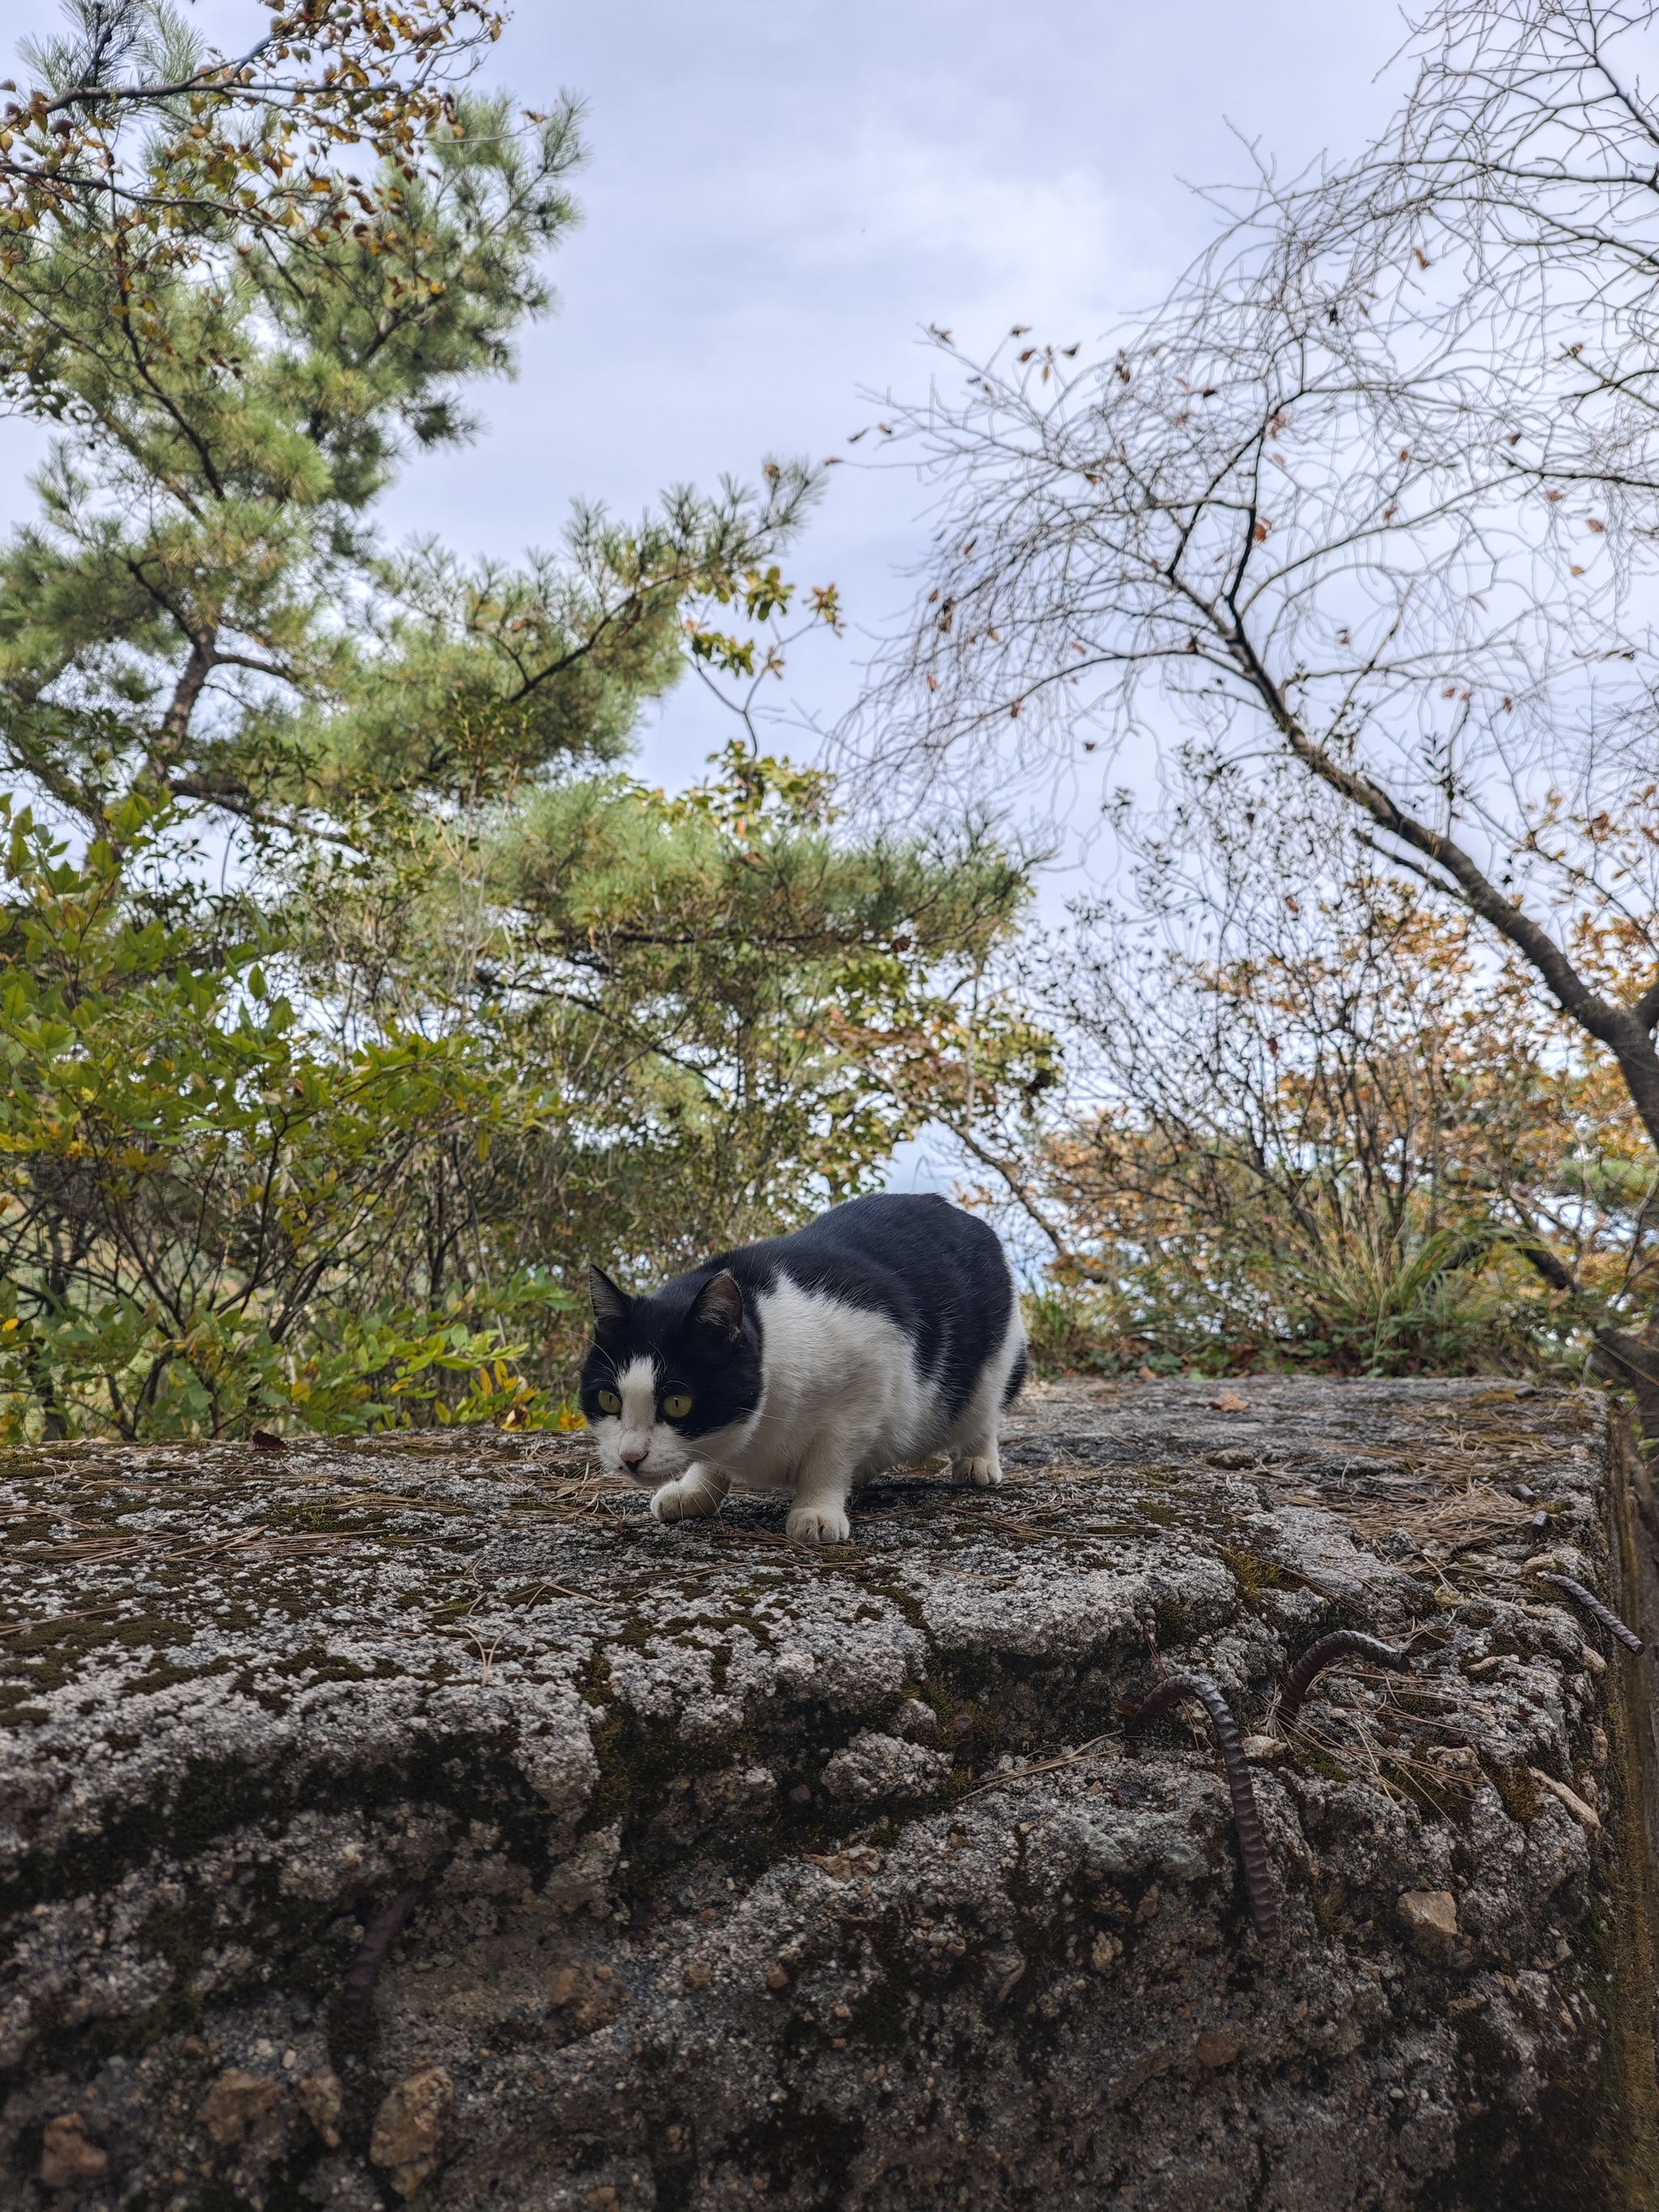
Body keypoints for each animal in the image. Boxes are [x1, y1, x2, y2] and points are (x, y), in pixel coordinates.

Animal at [579, 1203, 1026, 1548]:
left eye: (677, 1403)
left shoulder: (870, 1373)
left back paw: (977, 1461)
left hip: (993, 1367)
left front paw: (817, 1510)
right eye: (609, 1399)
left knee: (984, 1415)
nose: (630, 1457)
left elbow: (831, 1456)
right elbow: (712, 1463)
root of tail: (965, 1216)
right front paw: (695, 1490)